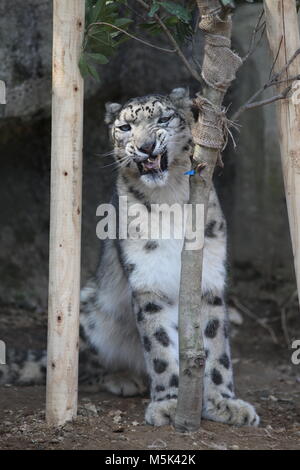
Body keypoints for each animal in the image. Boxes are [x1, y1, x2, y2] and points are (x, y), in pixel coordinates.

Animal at [0, 89, 258, 430]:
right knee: (85, 366)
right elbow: (160, 347)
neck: (169, 197)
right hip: (89, 310)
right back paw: (124, 379)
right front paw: (168, 404)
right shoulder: (149, 281)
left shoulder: (209, 277)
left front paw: (224, 403)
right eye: (125, 127)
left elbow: (216, 348)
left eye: (164, 118)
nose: (146, 146)